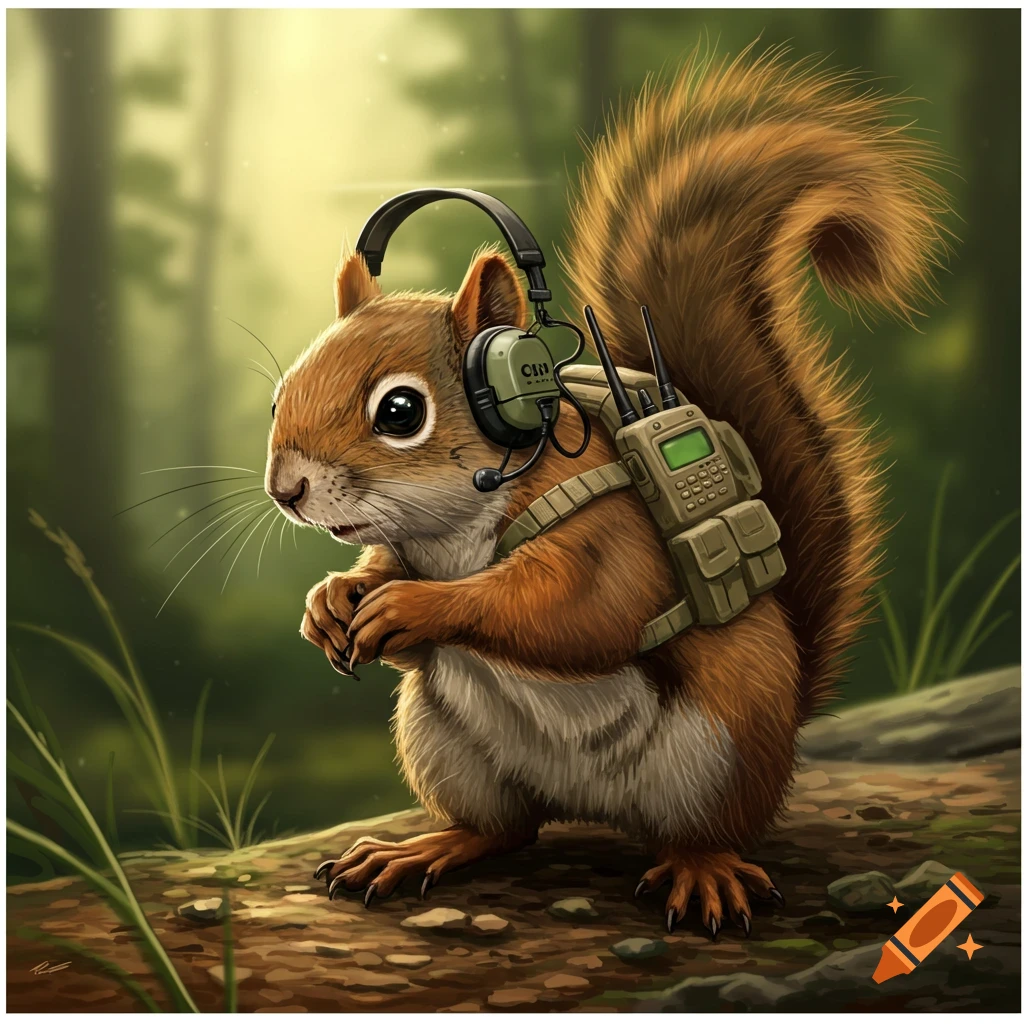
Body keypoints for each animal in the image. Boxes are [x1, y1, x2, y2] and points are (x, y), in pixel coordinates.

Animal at [264, 45, 948, 936]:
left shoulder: (609, 533)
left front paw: (411, 606)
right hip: (445, 747)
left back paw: (703, 872)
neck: (453, 533)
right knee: (503, 829)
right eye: (280, 394)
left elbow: (579, 610)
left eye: (401, 411)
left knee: (696, 830)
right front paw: (332, 602)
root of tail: (590, 807)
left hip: (722, 750)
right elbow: (393, 591)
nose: (286, 489)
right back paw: (423, 848)